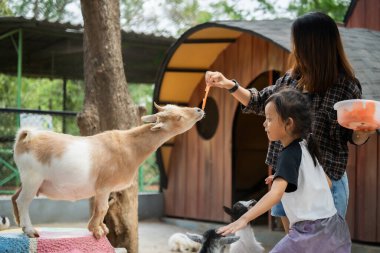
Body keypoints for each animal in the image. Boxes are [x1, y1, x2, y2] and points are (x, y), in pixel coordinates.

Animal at [11, 103, 203, 239]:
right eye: (178, 116)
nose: (199, 110)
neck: (129, 146)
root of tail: (26, 137)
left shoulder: (107, 189)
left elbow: (104, 209)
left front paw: (101, 227)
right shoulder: (104, 186)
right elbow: (102, 208)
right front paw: (95, 230)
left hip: (29, 181)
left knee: (14, 197)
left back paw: (20, 225)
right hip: (33, 178)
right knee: (23, 201)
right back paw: (30, 230)